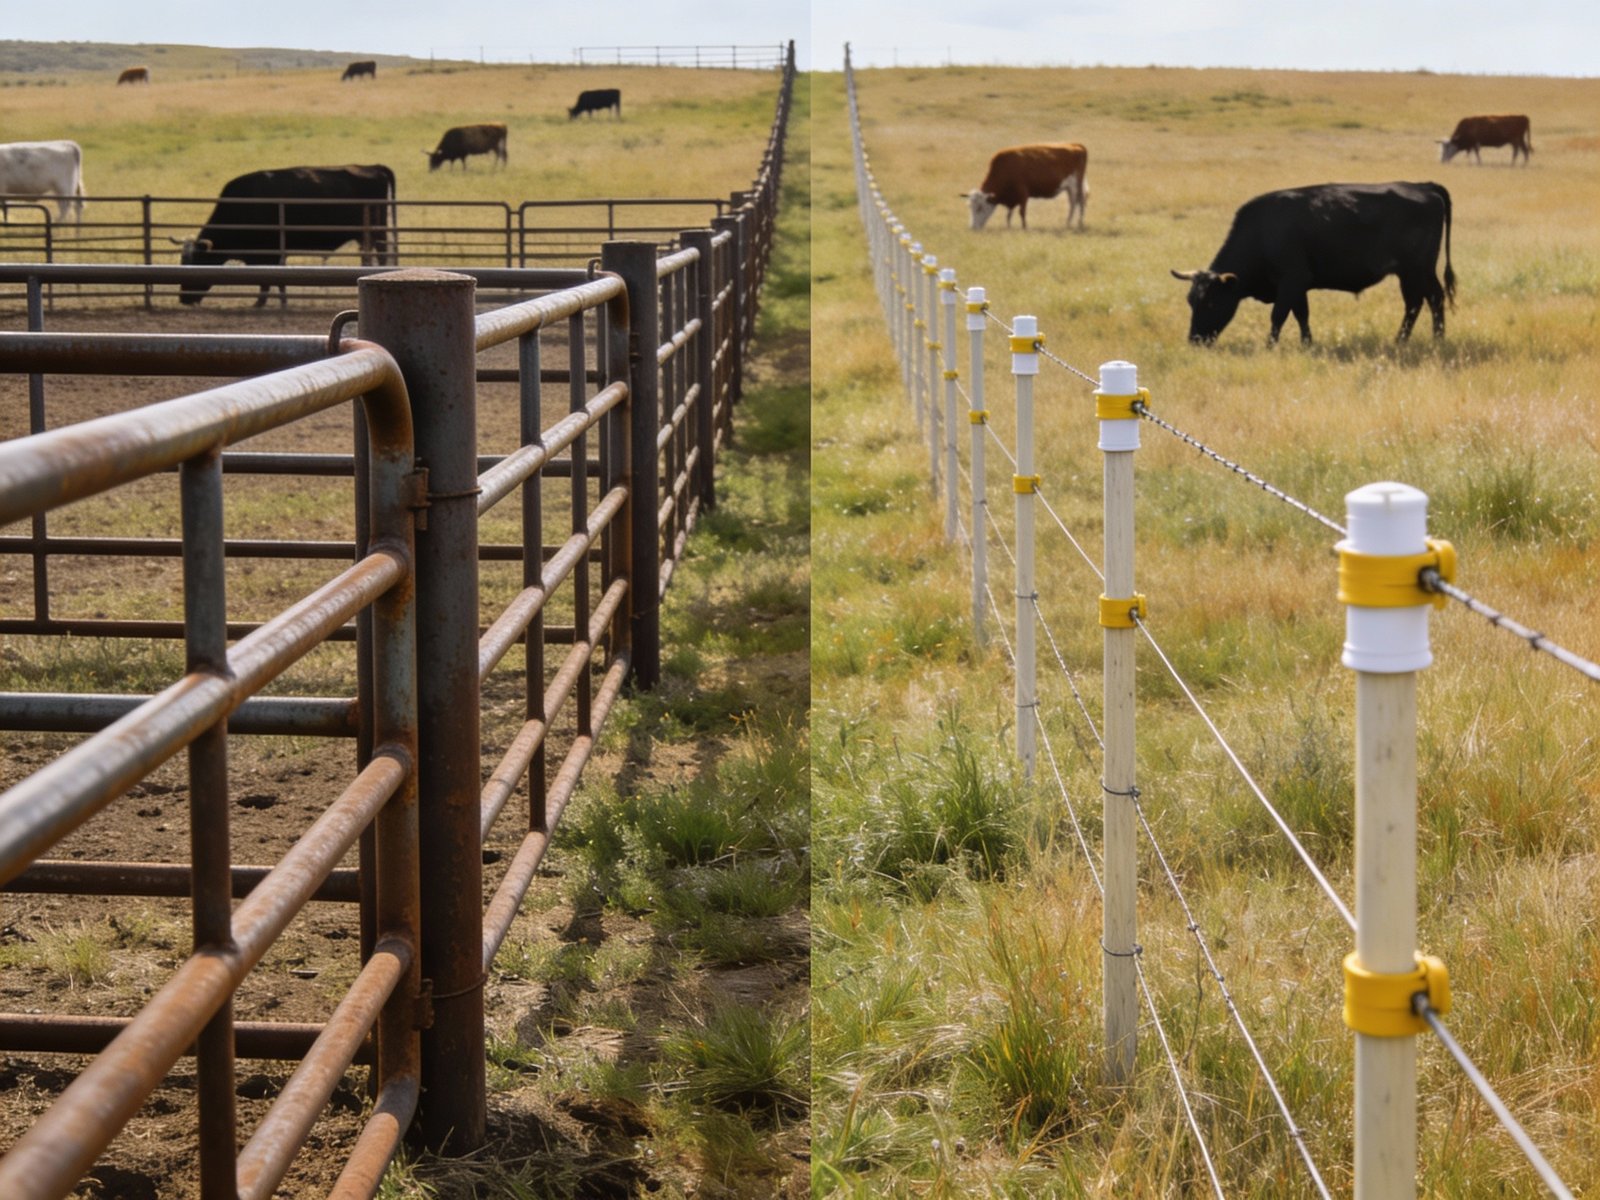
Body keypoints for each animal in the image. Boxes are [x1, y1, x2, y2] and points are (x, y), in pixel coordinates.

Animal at [172, 164, 396, 306]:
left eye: (197, 261)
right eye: (182, 263)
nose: (184, 298)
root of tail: (374, 167)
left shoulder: (267, 253)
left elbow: (266, 281)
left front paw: (260, 303)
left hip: (376, 233)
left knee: (382, 254)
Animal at [1171, 182, 1456, 345]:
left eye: (1211, 302)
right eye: (1190, 301)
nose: (1194, 340)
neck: (1263, 231)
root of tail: (1424, 186)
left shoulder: (1292, 280)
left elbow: (1279, 315)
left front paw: (1270, 345)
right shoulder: (1298, 286)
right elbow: (1301, 315)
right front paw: (1307, 344)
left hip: (1418, 269)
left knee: (1432, 299)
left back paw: (1436, 339)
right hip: (1409, 273)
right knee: (1416, 303)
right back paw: (1404, 341)